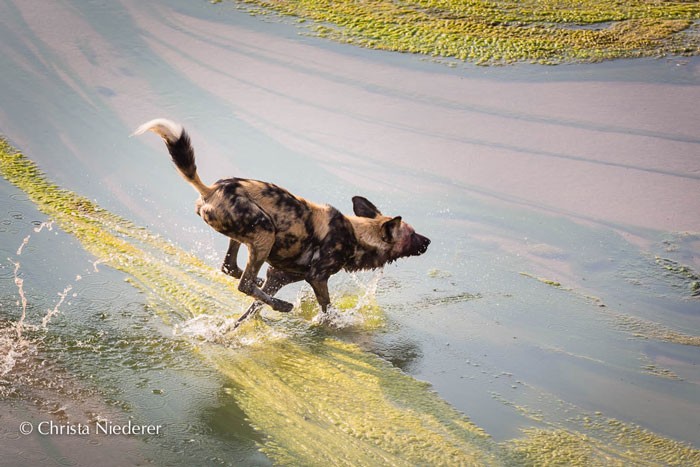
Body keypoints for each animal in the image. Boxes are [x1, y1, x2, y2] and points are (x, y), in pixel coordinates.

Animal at [131, 119, 426, 328]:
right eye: (412, 235)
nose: (429, 241)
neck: (355, 234)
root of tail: (211, 190)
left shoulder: (280, 277)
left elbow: (249, 311)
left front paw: (232, 330)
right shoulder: (318, 278)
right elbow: (328, 309)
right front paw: (335, 324)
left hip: (249, 239)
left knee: (233, 270)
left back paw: (266, 294)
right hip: (264, 232)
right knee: (244, 284)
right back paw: (283, 306)